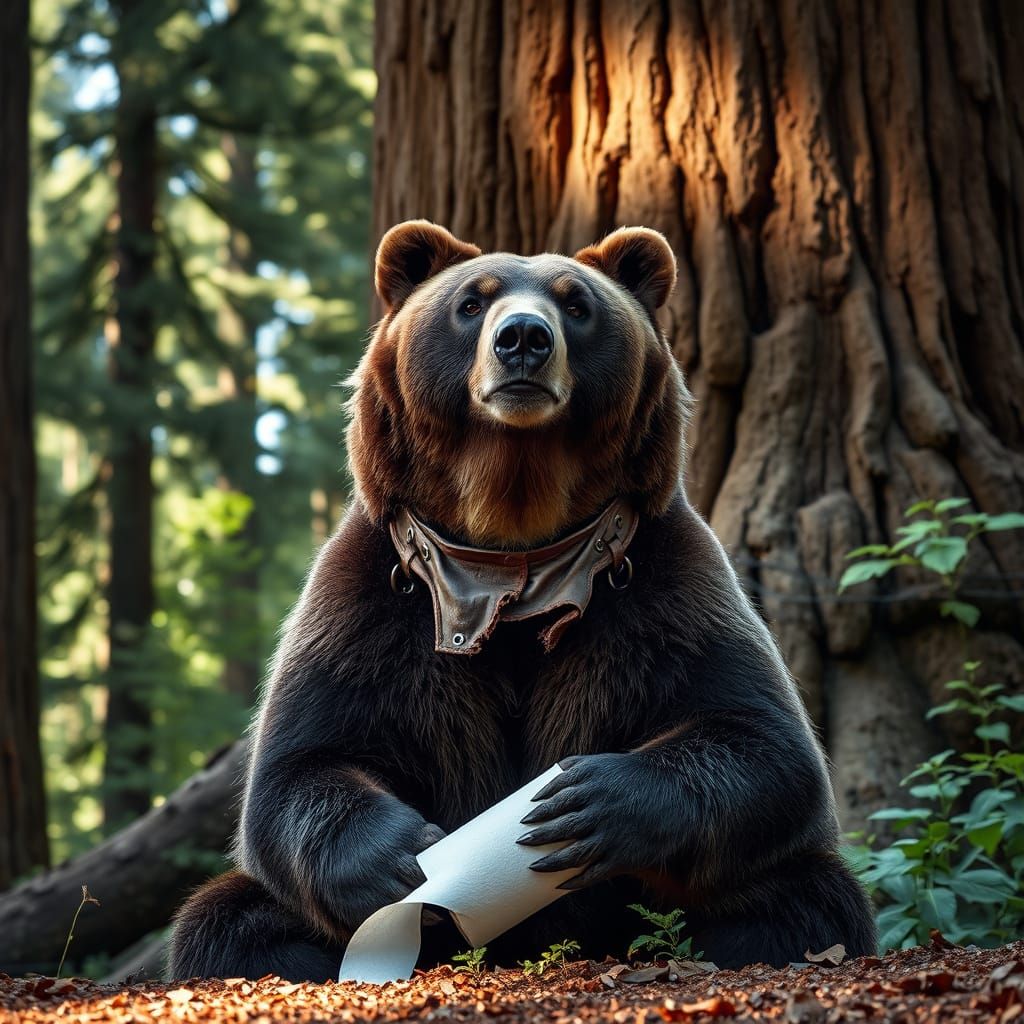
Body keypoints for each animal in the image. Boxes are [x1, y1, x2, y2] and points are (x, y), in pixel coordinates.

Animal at [169, 220, 876, 982]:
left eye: (576, 303)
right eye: (472, 303)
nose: (524, 339)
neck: (511, 553)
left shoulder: (664, 588)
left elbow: (763, 740)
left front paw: (586, 801)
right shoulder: (374, 602)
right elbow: (301, 764)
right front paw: (400, 856)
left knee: (803, 893)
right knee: (226, 918)